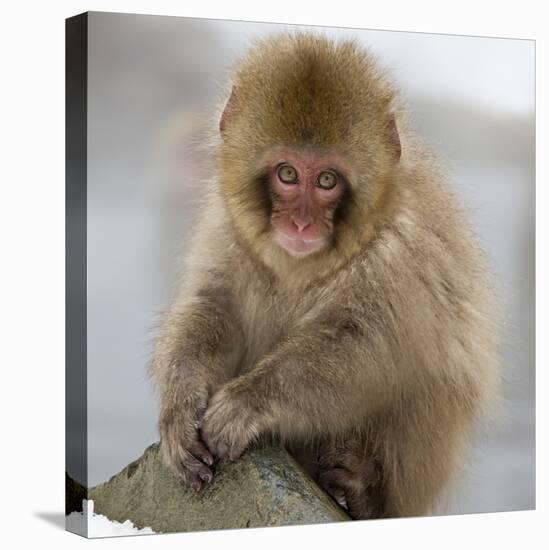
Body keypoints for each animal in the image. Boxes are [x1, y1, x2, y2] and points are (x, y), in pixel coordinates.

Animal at [149, 35, 496, 520]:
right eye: (288, 174)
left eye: (328, 180)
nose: (301, 224)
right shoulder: (227, 228)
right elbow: (215, 306)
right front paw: (181, 403)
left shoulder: (399, 252)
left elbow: (366, 346)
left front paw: (248, 401)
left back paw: (362, 490)